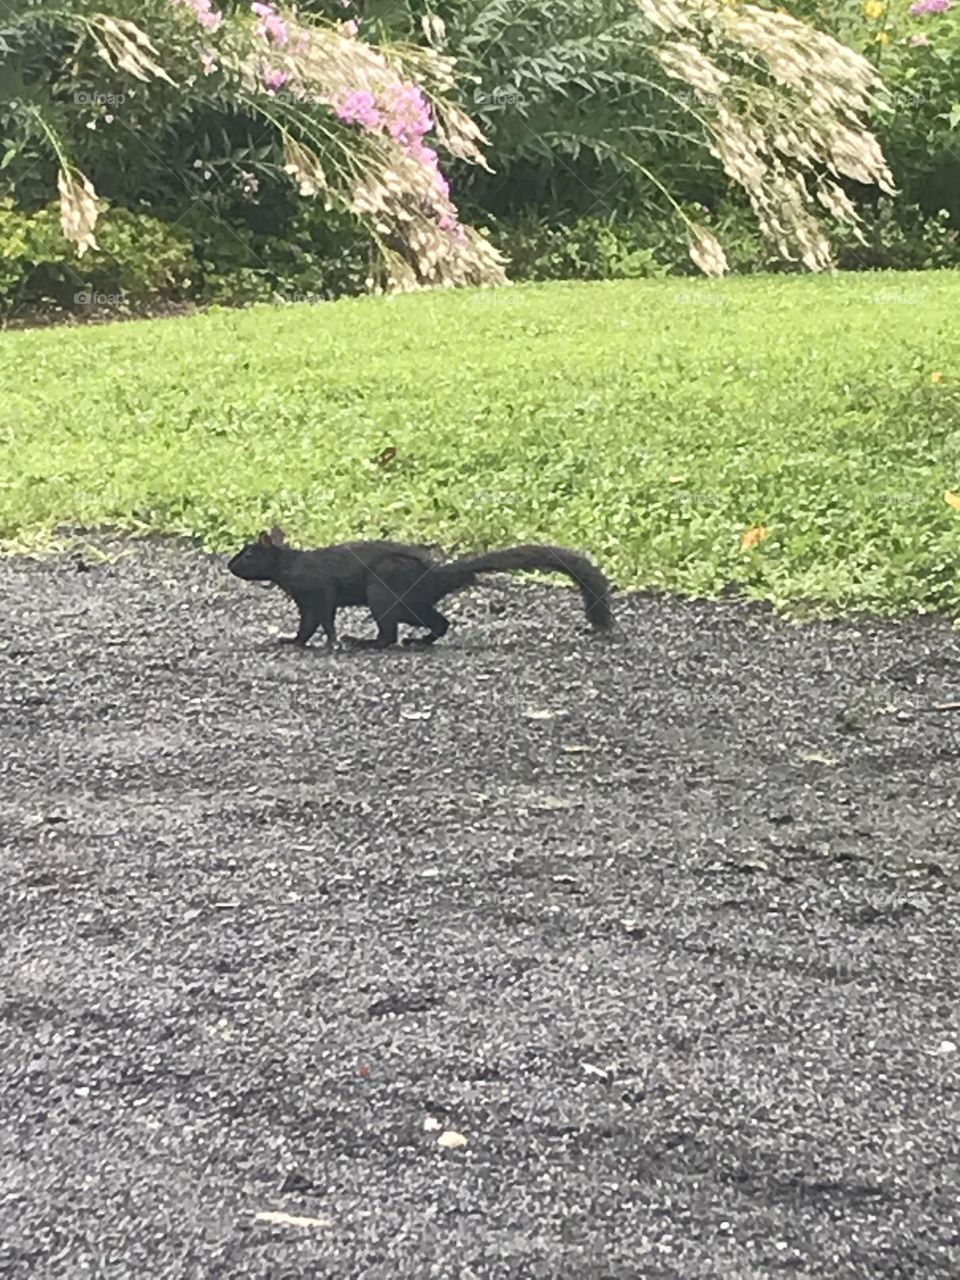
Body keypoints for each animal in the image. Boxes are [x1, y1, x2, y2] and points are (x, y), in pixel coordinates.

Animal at [228, 527, 614, 650]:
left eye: (248, 554)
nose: (229, 565)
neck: (291, 566)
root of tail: (435, 575)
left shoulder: (318, 592)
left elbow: (321, 620)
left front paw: (330, 641)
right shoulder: (307, 601)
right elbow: (308, 625)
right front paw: (294, 640)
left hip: (383, 591)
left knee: (389, 634)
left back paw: (365, 642)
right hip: (412, 604)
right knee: (439, 622)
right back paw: (421, 640)